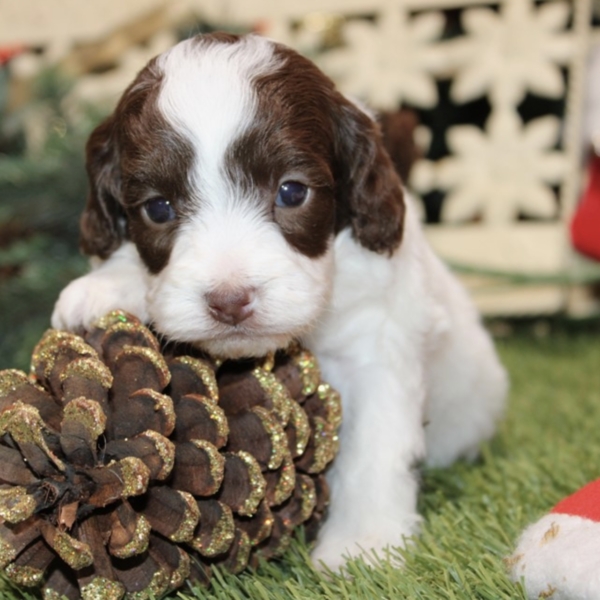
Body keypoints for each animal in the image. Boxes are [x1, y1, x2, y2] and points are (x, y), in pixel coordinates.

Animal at [52, 34, 506, 572]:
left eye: (292, 192)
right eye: (158, 208)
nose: (229, 301)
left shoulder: (378, 348)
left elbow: (374, 448)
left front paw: (362, 544)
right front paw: (105, 284)